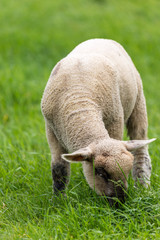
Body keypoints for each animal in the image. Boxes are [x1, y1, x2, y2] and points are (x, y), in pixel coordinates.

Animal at [41, 39, 155, 204]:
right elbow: (59, 169)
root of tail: (101, 39)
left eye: (126, 172)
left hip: (139, 101)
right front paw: (58, 200)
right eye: (100, 172)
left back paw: (142, 187)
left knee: (141, 153)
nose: (120, 202)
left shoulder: (115, 120)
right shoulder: (51, 131)